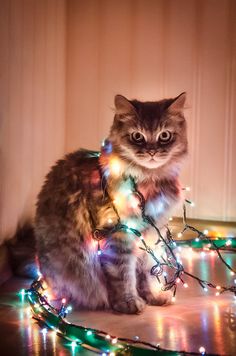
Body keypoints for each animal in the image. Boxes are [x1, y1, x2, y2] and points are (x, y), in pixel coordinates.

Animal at [34, 92, 188, 314]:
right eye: (137, 137)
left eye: (164, 136)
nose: (151, 151)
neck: (149, 180)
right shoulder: (119, 235)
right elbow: (124, 275)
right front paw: (128, 303)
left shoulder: (151, 235)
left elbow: (148, 272)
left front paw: (153, 295)